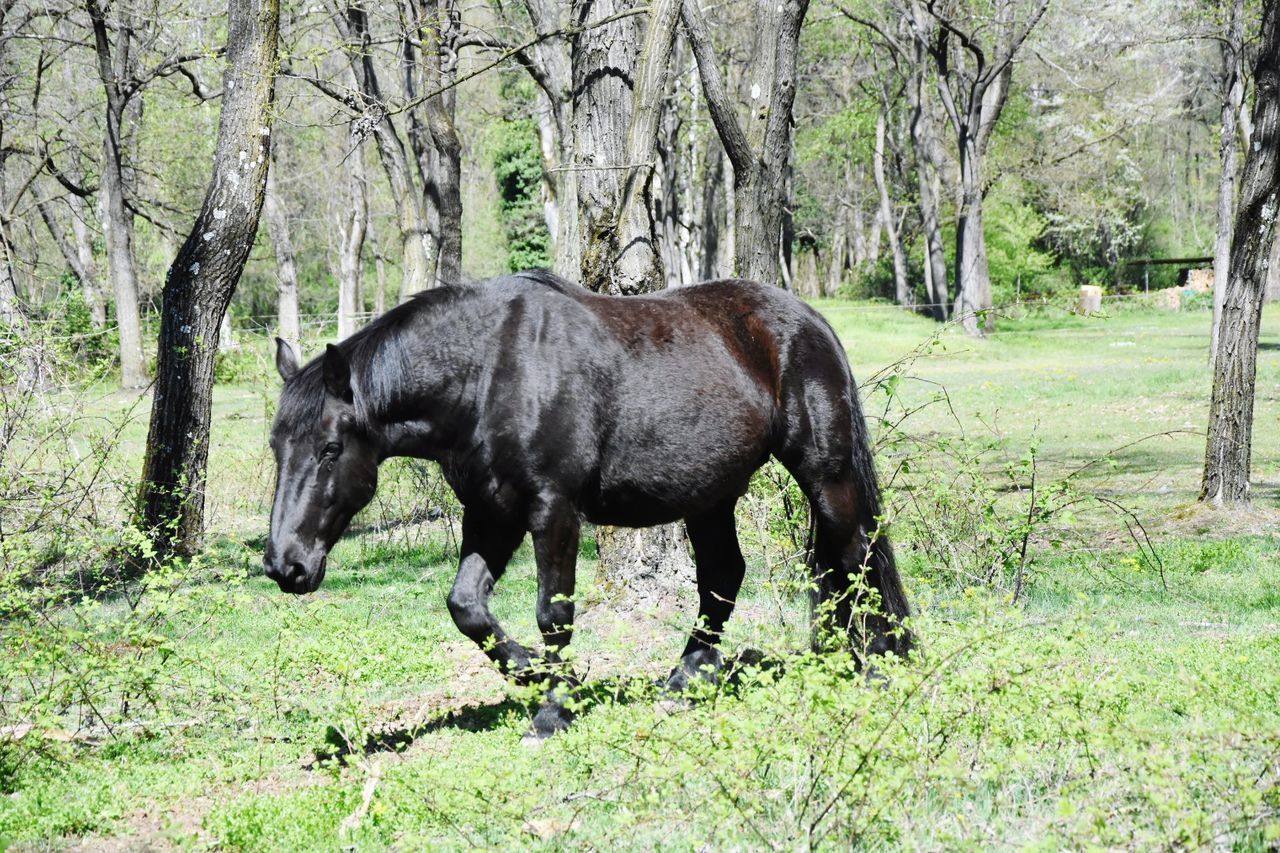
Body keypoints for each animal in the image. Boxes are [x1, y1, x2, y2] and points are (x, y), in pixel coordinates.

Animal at [267, 270, 911, 732]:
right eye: (277, 445)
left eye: (329, 449)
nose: (284, 565)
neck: (491, 372)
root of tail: (809, 320)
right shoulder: (491, 513)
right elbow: (466, 607)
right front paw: (534, 675)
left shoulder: (553, 511)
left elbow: (554, 613)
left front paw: (554, 707)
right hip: (711, 496)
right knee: (723, 575)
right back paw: (685, 681)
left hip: (825, 476)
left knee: (856, 556)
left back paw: (881, 666)